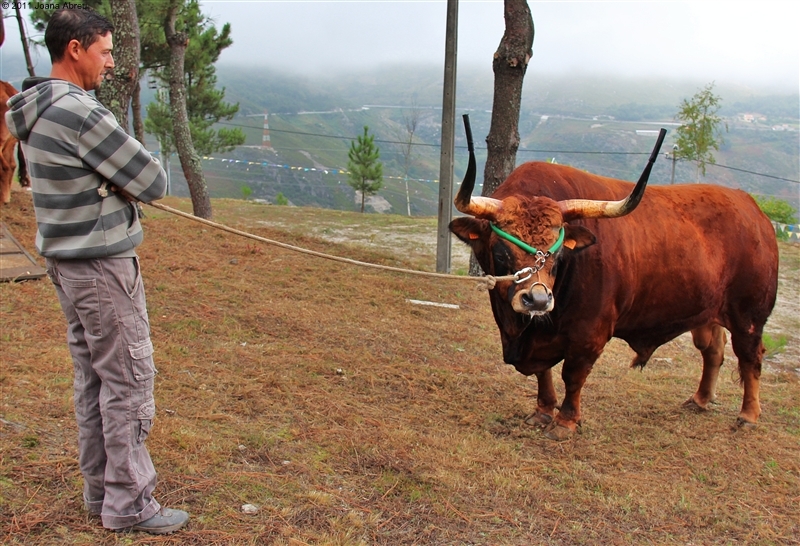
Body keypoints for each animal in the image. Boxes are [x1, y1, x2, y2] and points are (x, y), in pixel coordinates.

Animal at [454, 121, 780, 440]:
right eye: (501, 249)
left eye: (558, 253)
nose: (538, 299)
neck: (519, 331)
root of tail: (751, 208)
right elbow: (543, 372)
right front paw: (543, 411)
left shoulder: (589, 333)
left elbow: (572, 375)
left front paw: (565, 422)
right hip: (706, 311)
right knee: (713, 349)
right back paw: (700, 399)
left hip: (748, 314)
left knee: (750, 357)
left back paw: (748, 415)